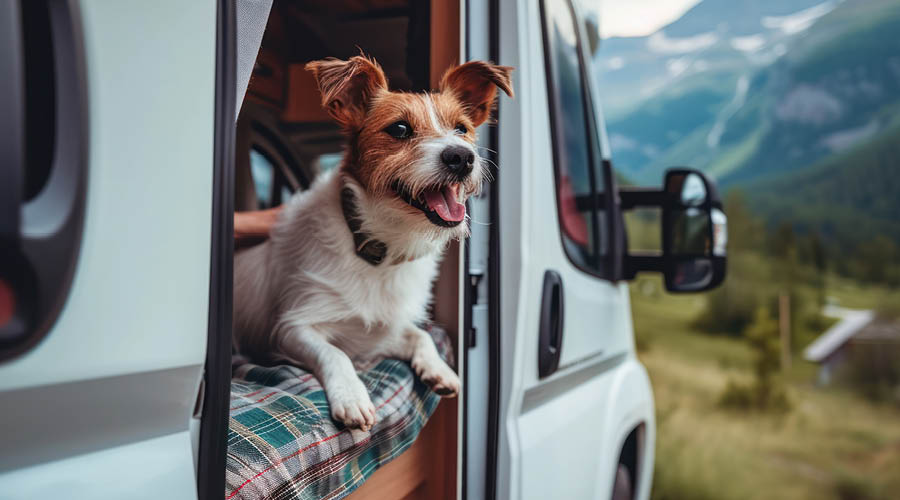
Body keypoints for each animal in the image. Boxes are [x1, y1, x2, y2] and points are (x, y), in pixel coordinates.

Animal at [232, 53, 512, 430]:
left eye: (461, 129)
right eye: (400, 130)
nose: (462, 157)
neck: (380, 245)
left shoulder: (380, 332)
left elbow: (419, 334)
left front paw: (438, 368)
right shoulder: (292, 327)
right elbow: (334, 353)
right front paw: (351, 396)